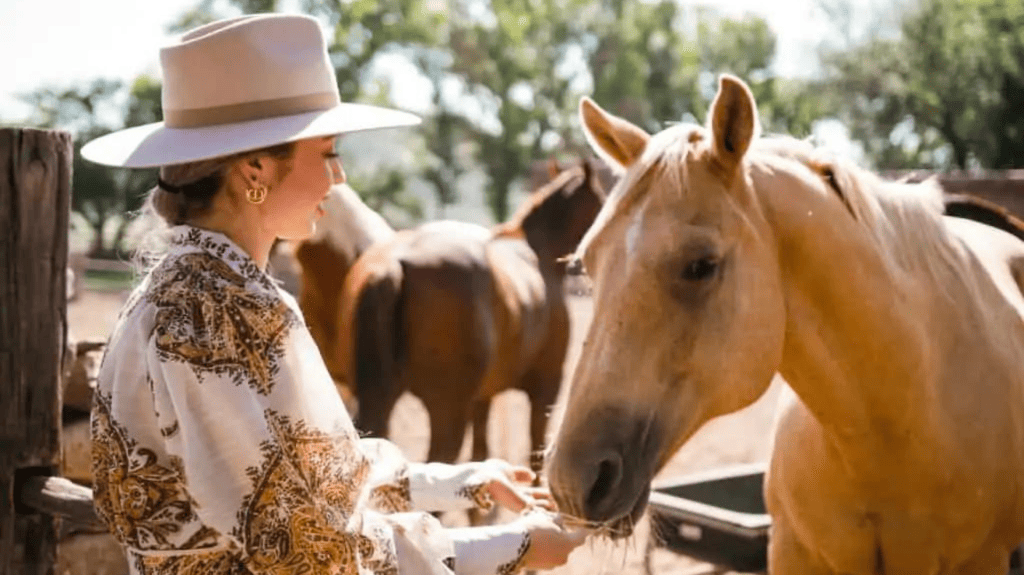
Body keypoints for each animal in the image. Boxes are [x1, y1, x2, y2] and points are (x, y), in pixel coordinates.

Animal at [334, 161, 604, 472]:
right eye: (603, 201)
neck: (539, 252)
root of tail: (393, 263)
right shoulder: (547, 387)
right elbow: (536, 456)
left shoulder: (482, 398)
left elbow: (481, 451)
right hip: (447, 410)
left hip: (378, 396)